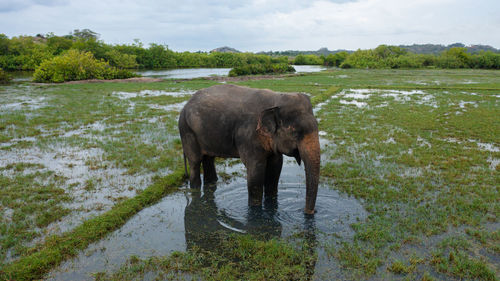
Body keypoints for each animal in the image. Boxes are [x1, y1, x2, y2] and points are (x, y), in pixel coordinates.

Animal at [180, 84, 320, 213]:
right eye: (296, 133)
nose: (309, 212)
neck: (276, 98)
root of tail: (185, 105)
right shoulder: (249, 135)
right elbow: (255, 172)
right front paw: (255, 211)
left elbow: (275, 167)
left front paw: (271, 205)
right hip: (187, 131)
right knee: (195, 162)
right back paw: (195, 189)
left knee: (208, 159)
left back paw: (211, 184)